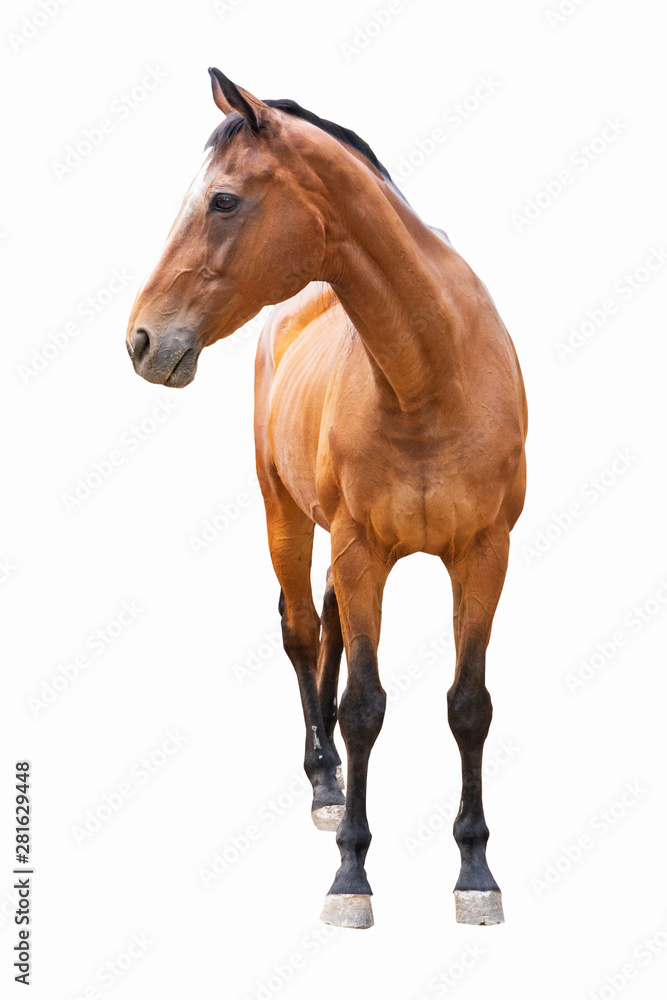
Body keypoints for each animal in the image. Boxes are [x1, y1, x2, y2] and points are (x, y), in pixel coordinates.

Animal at [126, 67, 528, 930]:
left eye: (223, 201)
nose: (140, 339)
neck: (429, 375)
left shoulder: (483, 554)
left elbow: (468, 705)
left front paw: (475, 872)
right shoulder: (359, 549)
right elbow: (363, 704)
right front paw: (351, 874)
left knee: (330, 630)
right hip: (286, 517)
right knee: (303, 631)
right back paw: (323, 781)